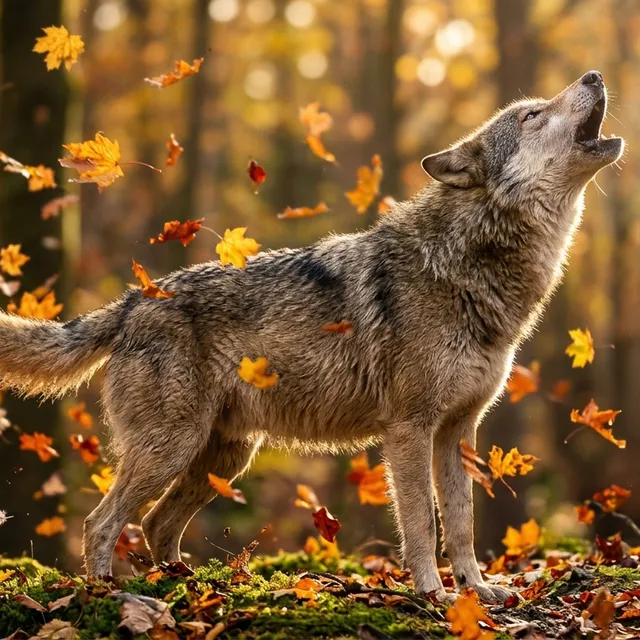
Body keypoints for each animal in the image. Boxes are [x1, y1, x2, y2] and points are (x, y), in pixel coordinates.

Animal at [0, 71, 622, 601]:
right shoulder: (409, 430)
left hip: (224, 458)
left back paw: (191, 588)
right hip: (172, 448)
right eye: (532, 114)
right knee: (100, 522)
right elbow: (423, 523)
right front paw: (434, 595)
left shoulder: (457, 433)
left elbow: (462, 523)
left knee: (156, 524)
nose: (594, 75)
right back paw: (112, 594)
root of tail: (134, 300)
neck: (466, 264)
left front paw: (478, 591)